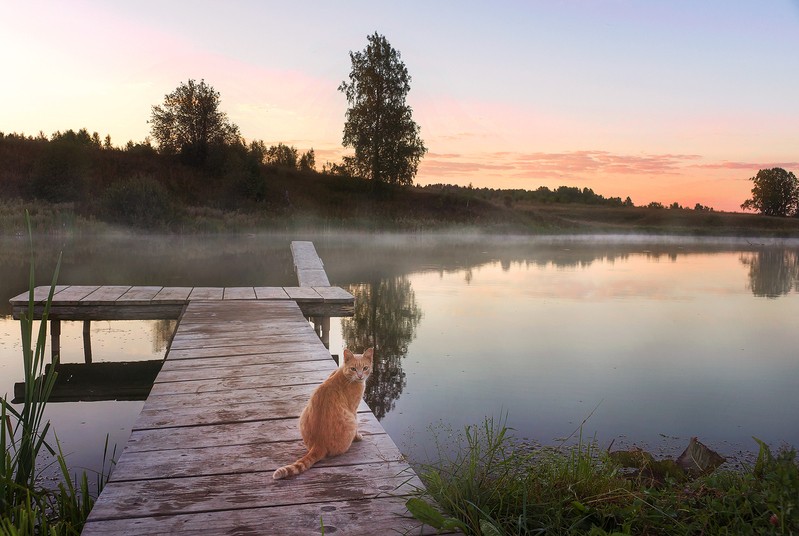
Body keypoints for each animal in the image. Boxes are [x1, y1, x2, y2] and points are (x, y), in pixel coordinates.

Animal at [272, 348, 376, 482]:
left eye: (365, 368)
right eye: (353, 368)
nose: (360, 375)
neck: (345, 374)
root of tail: (318, 444)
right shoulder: (353, 410)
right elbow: (357, 429)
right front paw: (358, 437)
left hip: (303, 414)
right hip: (351, 420)